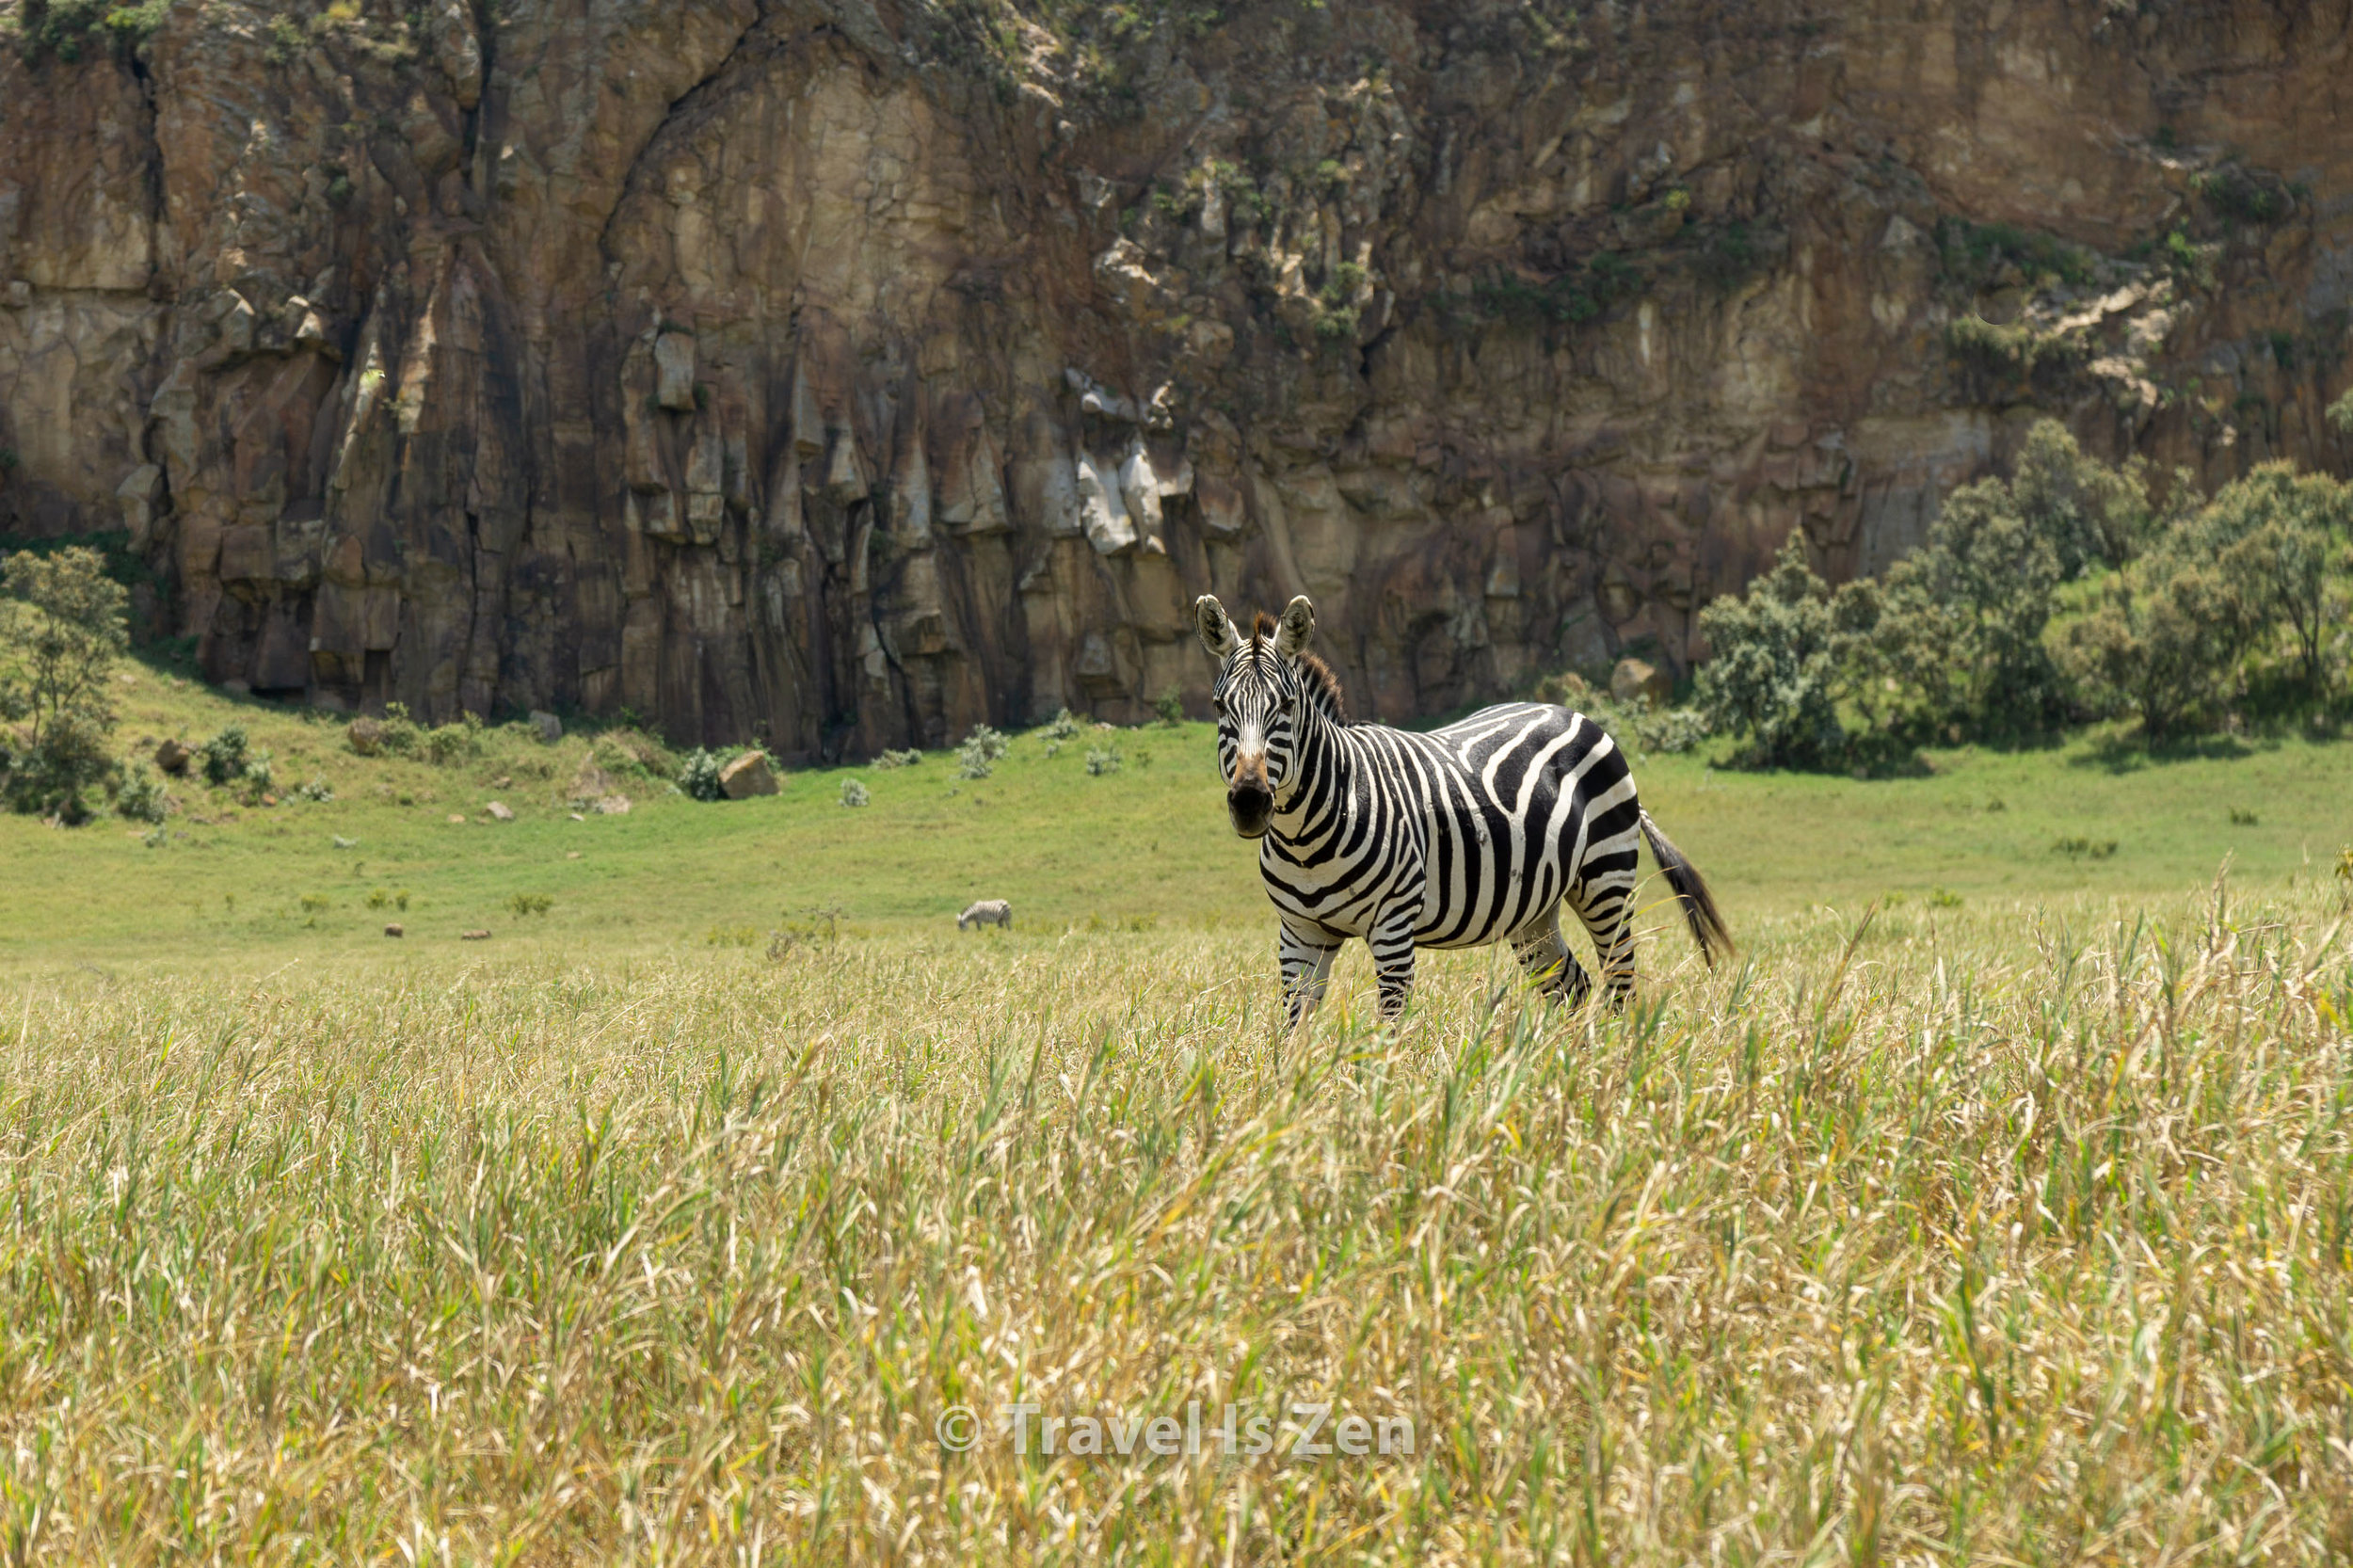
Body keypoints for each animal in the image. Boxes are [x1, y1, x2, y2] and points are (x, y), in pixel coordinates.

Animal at [1195, 593, 1732, 1021]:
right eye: (1220, 707)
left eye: (1286, 706)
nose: (1250, 803)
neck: (1305, 836)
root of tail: (1576, 714)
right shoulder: (1300, 934)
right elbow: (1294, 1036)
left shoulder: (1393, 926)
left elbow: (1389, 1033)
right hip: (1534, 911)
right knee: (1573, 989)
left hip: (1607, 879)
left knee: (1620, 986)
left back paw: (1611, 1070)